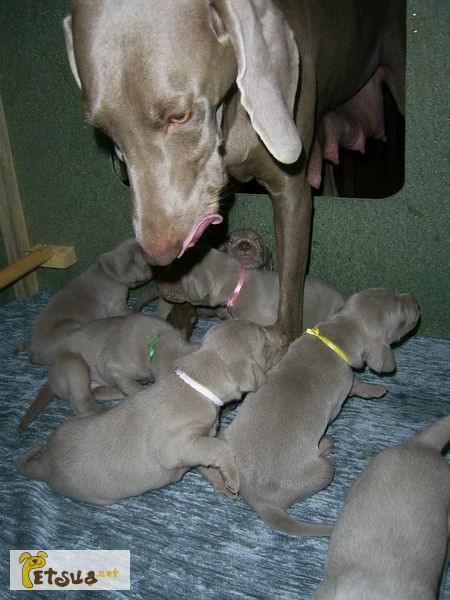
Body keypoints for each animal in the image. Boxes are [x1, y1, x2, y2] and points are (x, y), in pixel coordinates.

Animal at [18, 314, 197, 432]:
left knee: (97, 393)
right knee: (83, 403)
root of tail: (50, 380)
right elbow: (136, 388)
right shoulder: (112, 367)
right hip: (74, 365)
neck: (157, 343)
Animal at [199, 288, 420, 536]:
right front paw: (375, 389)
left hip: (224, 434)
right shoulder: (342, 391)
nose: (416, 301)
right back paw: (326, 443)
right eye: (402, 315)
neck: (333, 338)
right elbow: (357, 384)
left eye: (392, 292)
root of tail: (259, 499)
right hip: (325, 470)